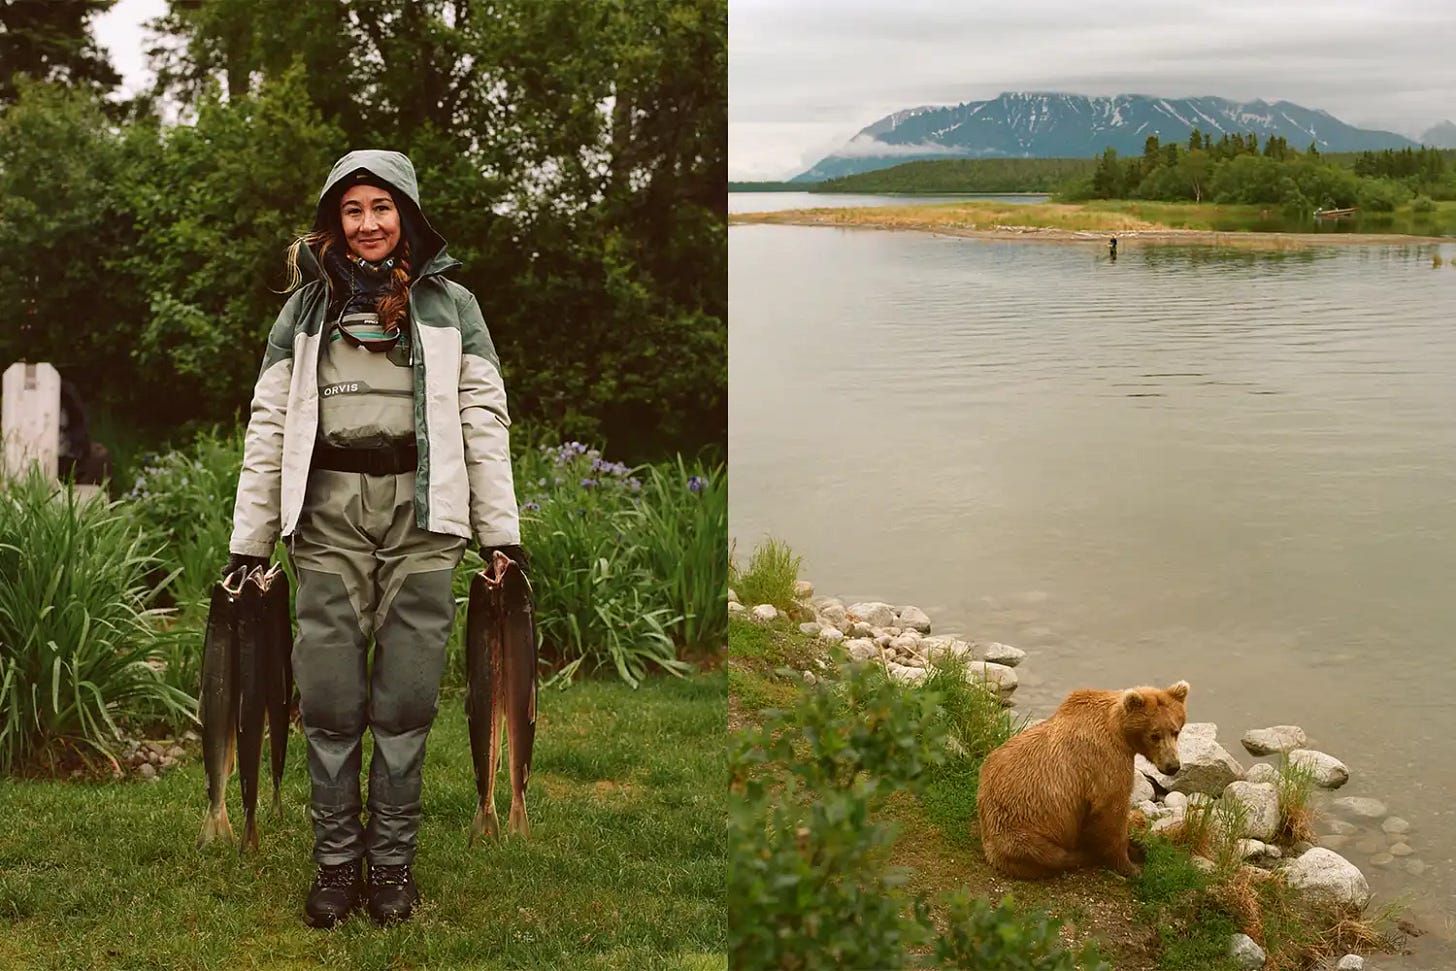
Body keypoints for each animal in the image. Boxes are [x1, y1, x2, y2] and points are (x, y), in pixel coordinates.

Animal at [976, 680, 1189, 879]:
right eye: (1154, 735)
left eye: (1176, 731)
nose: (1173, 766)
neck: (1119, 732)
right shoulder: (1106, 760)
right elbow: (1112, 809)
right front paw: (1130, 865)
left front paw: (1136, 846)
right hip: (1022, 830)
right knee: (1053, 855)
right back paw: (1087, 854)